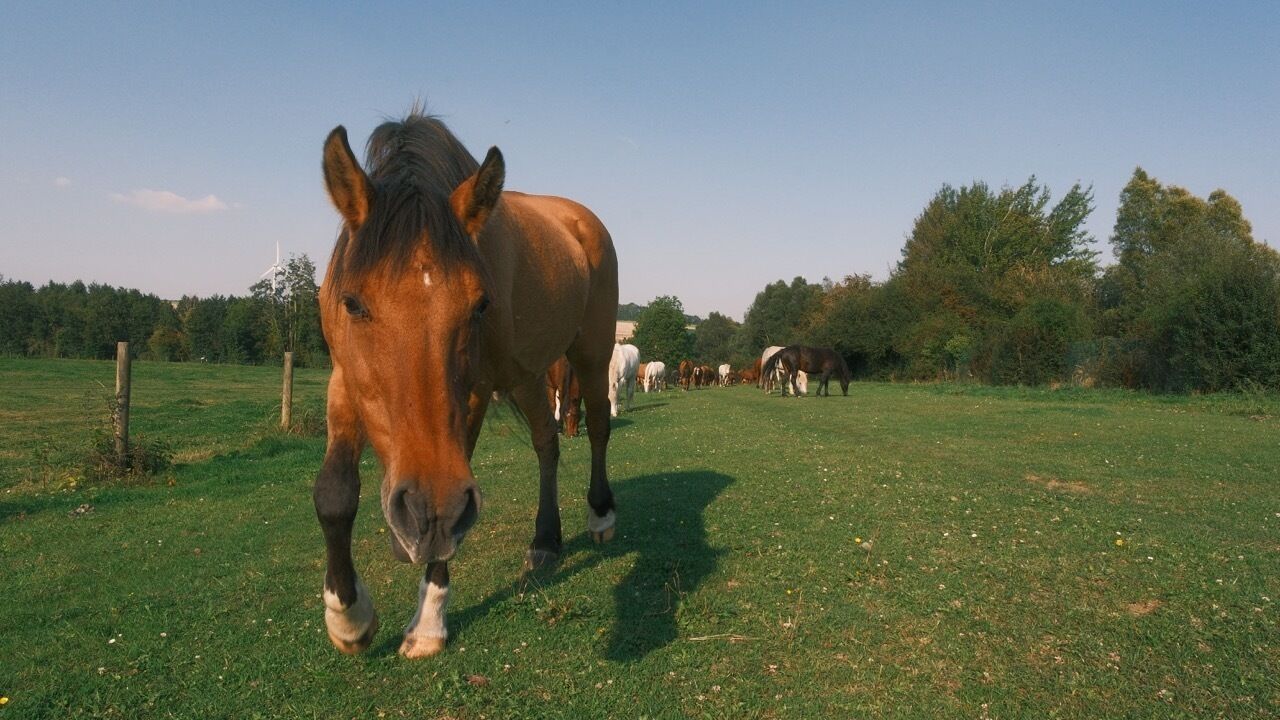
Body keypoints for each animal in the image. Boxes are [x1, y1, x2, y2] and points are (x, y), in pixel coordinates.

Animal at [314, 111, 618, 660]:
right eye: (352, 303)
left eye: (479, 305)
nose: (422, 511)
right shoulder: (345, 378)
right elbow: (334, 494)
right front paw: (348, 617)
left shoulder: (474, 394)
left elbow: (451, 514)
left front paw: (429, 621)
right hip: (527, 374)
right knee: (546, 444)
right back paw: (545, 540)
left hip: (591, 351)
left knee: (600, 426)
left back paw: (601, 516)